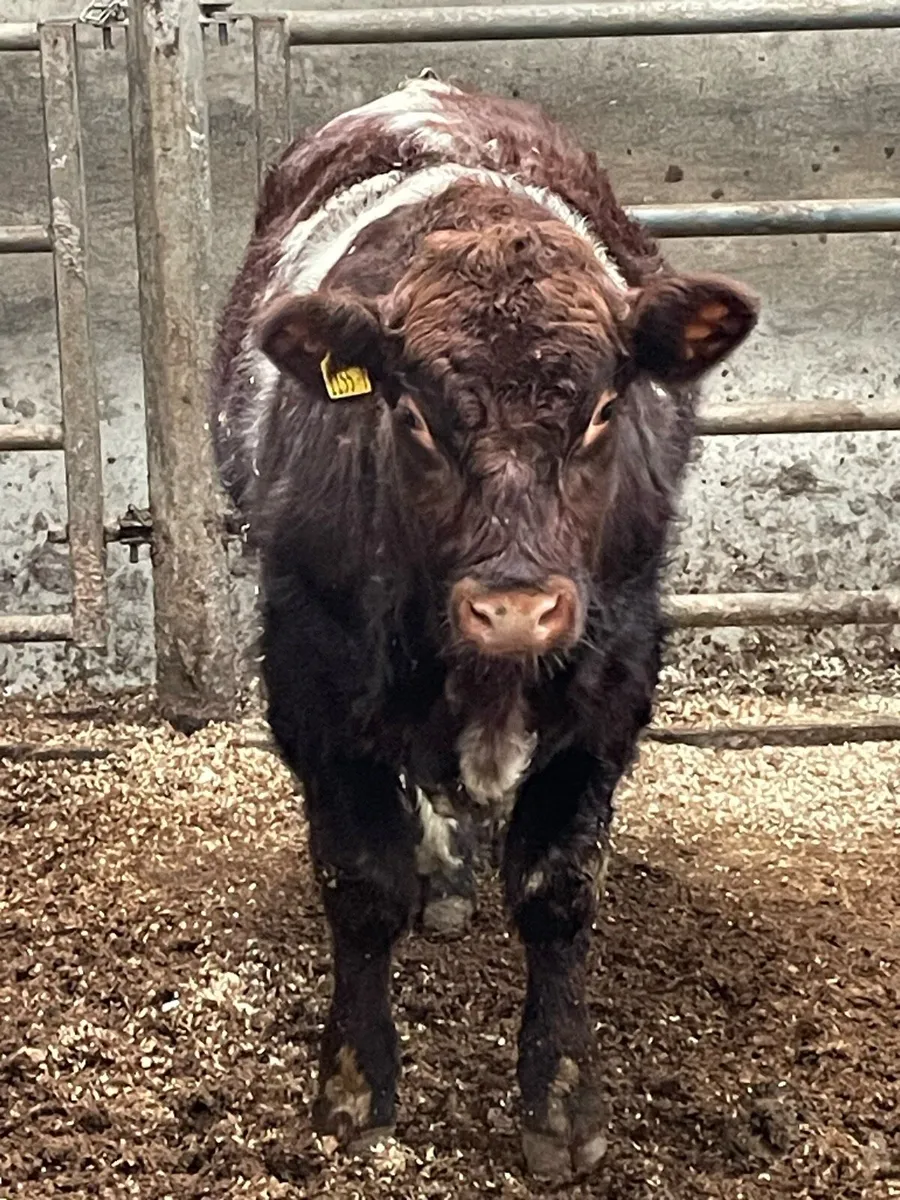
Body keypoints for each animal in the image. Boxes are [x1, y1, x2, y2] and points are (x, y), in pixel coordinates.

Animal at [210, 73, 759, 1179]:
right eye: (414, 415)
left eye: (601, 412)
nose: (513, 608)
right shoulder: (314, 686)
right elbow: (361, 886)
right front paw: (354, 1090)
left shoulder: (610, 689)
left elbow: (557, 890)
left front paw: (561, 1103)